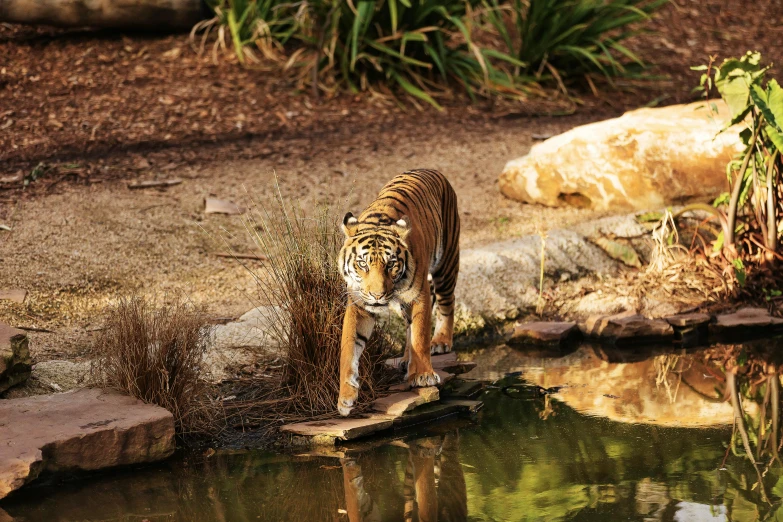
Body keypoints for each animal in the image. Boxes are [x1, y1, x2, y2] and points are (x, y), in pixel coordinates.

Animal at [336, 169, 460, 416]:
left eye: (391, 264)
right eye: (362, 264)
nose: (377, 295)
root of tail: (432, 170)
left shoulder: (419, 295)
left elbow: (420, 335)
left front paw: (422, 376)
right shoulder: (358, 305)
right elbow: (349, 347)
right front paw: (345, 397)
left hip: (447, 263)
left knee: (446, 303)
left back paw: (440, 341)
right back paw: (405, 359)